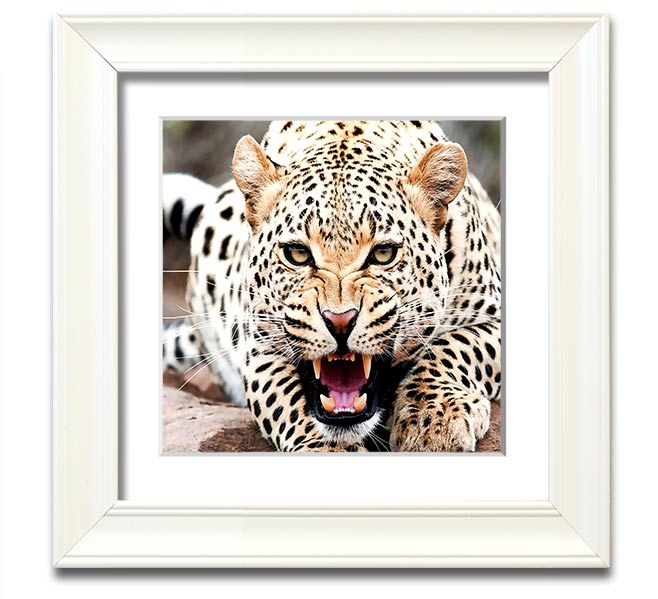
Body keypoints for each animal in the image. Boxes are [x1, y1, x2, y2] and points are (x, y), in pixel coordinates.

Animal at [163, 120, 501, 452]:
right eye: (297, 254)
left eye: (383, 253)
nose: (340, 322)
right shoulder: (259, 347)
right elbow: (288, 403)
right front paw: (325, 447)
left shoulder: (493, 316)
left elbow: (455, 346)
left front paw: (433, 417)